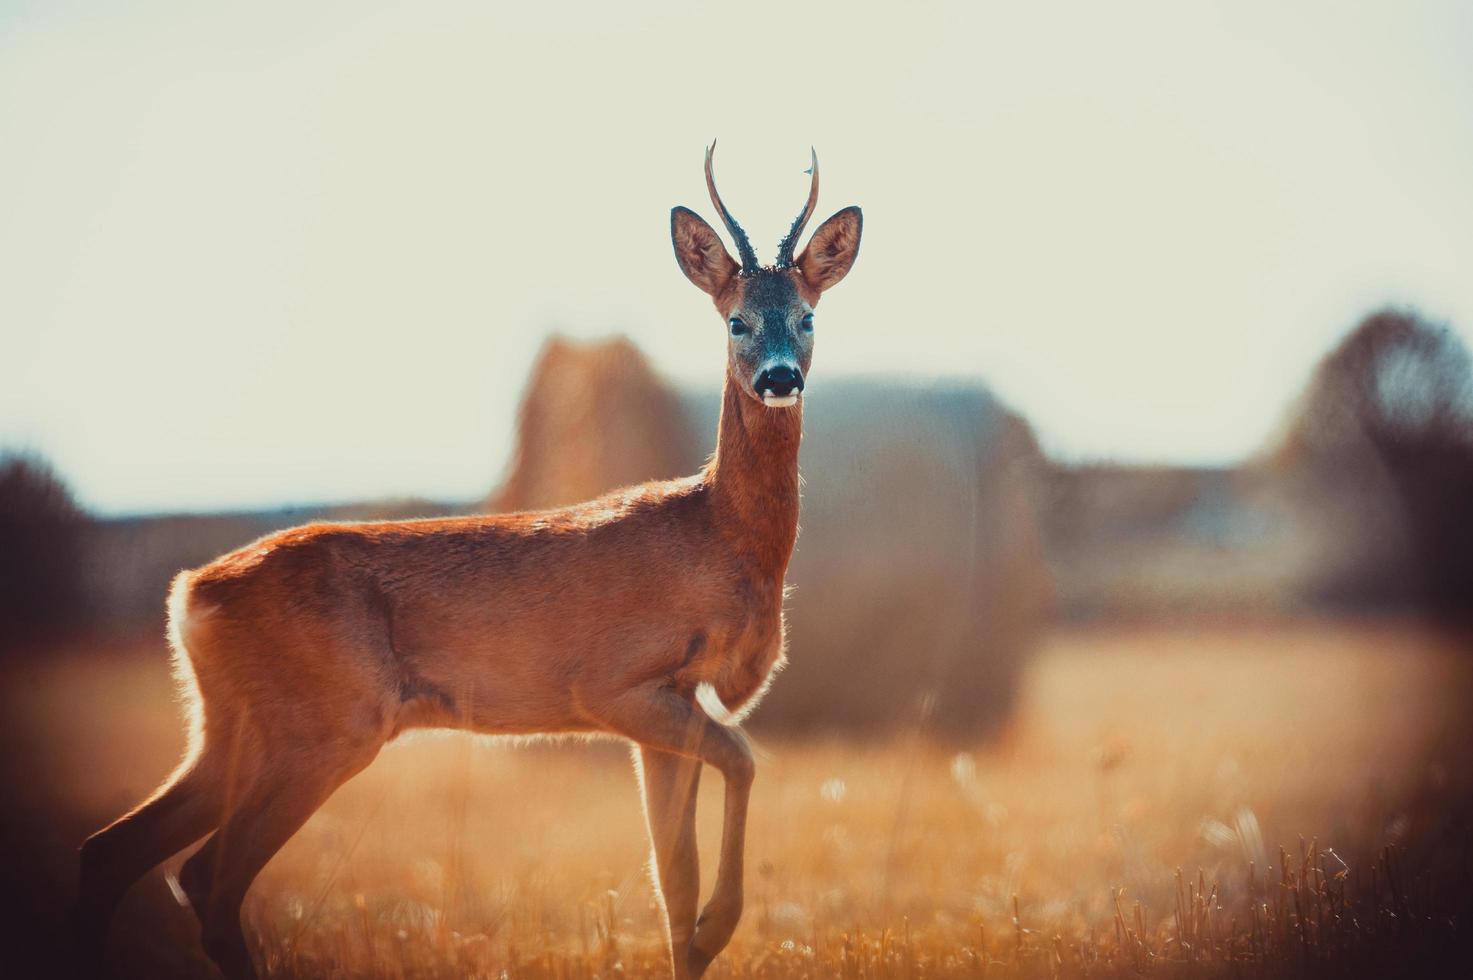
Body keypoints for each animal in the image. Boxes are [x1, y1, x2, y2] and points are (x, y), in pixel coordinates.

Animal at [77, 145, 860, 978]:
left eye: (807, 316)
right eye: (735, 320)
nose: (779, 377)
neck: (717, 535)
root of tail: (191, 593)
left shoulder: (664, 702)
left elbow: (671, 880)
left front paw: (703, 926)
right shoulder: (613, 684)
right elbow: (741, 764)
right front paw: (721, 923)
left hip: (230, 725)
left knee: (116, 851)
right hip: (327, 725)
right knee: (206, 875)